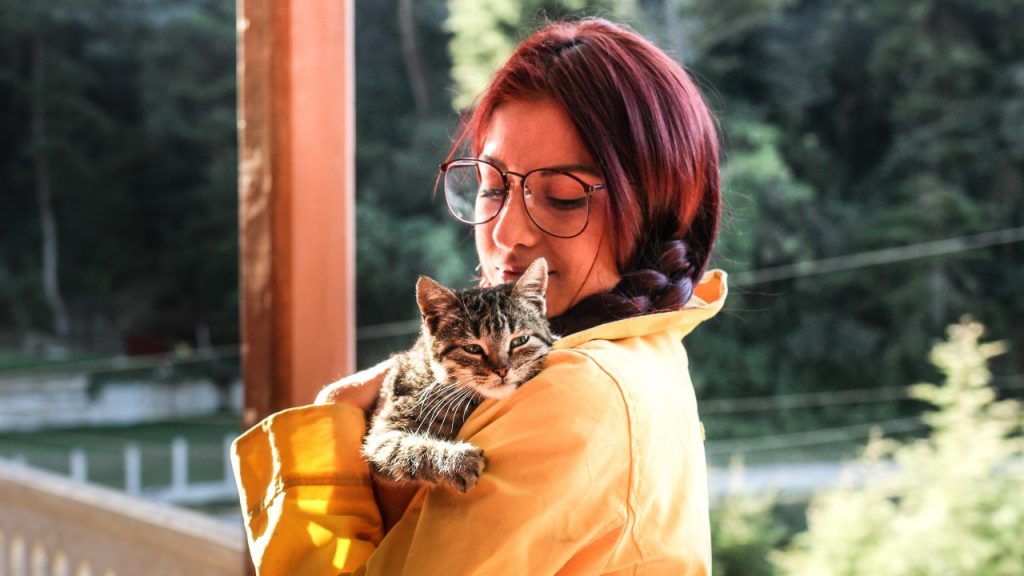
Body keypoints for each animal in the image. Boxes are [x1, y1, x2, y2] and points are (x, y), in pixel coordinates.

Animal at [360, 258, 552, 491]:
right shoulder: (381, 435)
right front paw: (456, 461)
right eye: (473, 349)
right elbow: (410, 448)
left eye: (519, 341)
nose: (502, 370)